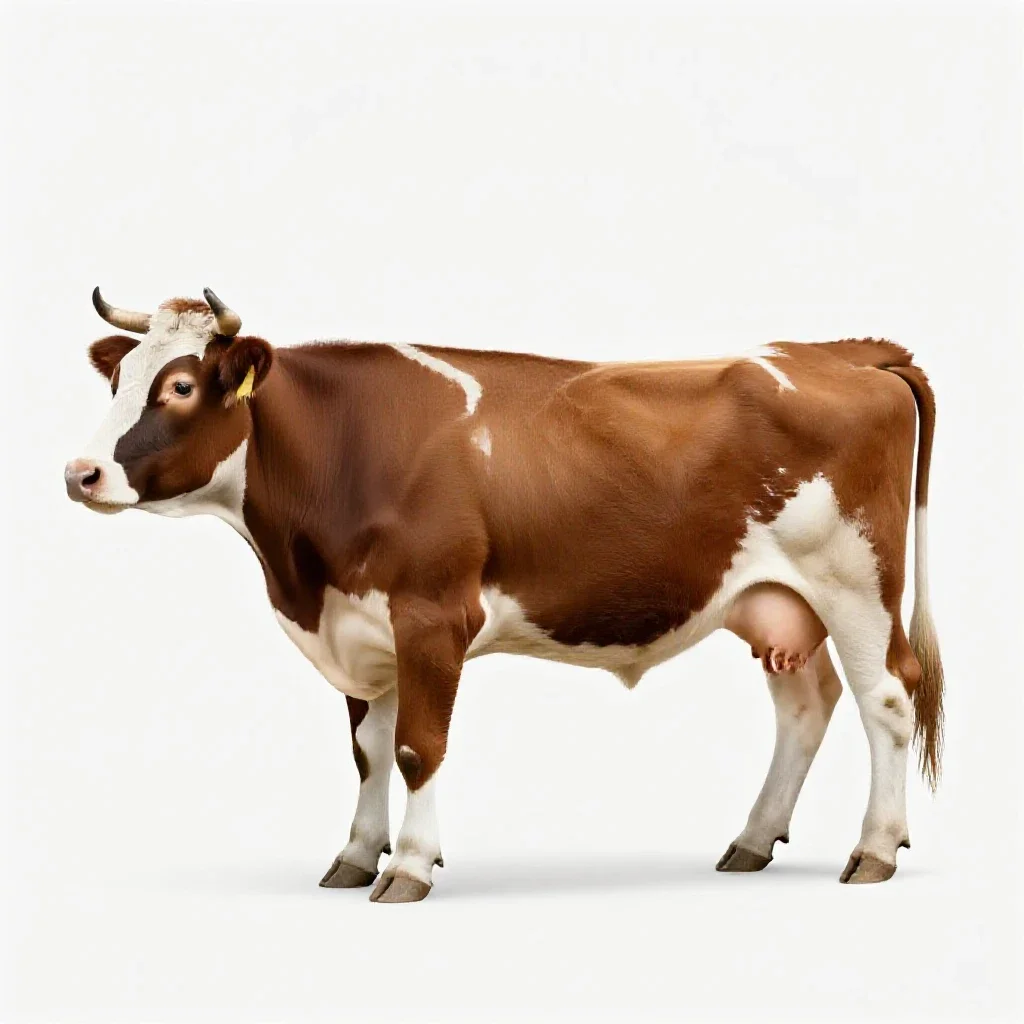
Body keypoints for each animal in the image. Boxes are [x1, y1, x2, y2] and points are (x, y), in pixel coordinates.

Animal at [65, 287, 944, 903]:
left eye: (180, 387)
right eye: (120, 381)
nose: (82, 474)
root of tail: (844, 353)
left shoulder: (430, 618)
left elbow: (417, 750)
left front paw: (409, 867)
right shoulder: (360, 628)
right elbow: (368, 752)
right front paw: (354, 856)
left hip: (854, 580)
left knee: (886, 697)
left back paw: (873, 850)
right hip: (772, 597)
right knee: (806, 703)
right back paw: (754, 841)